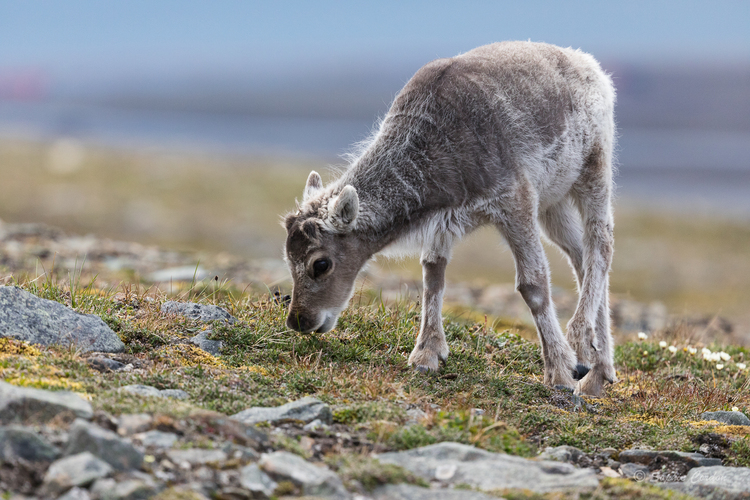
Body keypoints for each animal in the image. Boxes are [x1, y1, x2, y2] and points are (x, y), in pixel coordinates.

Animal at [282, 41, 616, 396]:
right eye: (287, 257)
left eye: (320, 263)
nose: (299, 321)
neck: (433, 149)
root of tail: (592, 66)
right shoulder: (445, 219)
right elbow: (433, 274)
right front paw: (426, 354)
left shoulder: (516, 201)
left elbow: (533, 285)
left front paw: (561, 371)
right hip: (554, 203)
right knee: (581, 257)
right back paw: (600, 370)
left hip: (594, 170)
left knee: (601, 246)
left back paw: (583, 351)